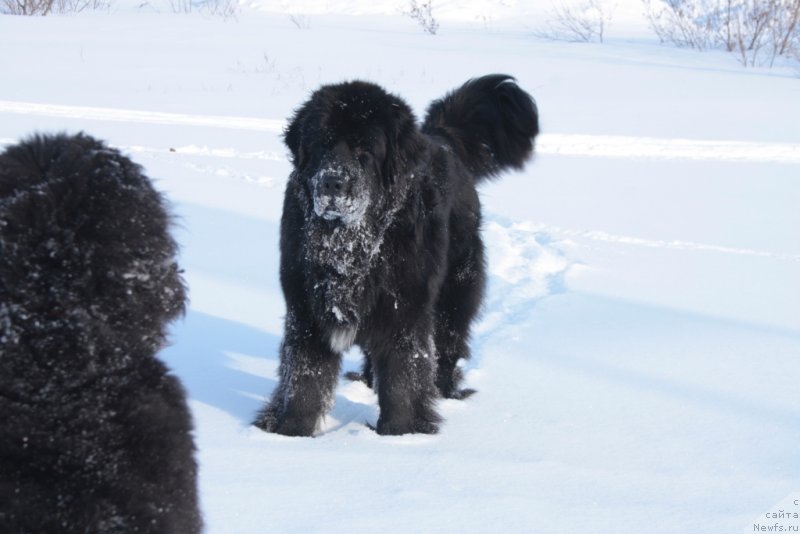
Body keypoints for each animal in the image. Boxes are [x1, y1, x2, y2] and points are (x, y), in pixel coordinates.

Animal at [255, 74, 544, 436]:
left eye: (365, 151)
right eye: (322, 145)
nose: (332, 183)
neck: (351, 245)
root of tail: (443, 138)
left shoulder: (405, 309)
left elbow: (402, 377)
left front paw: (400, 434)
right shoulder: (306, 306)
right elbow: (304, 375)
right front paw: (289, 432)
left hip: (456, 289)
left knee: (448, 344)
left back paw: (444, 390)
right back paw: (367, 381)